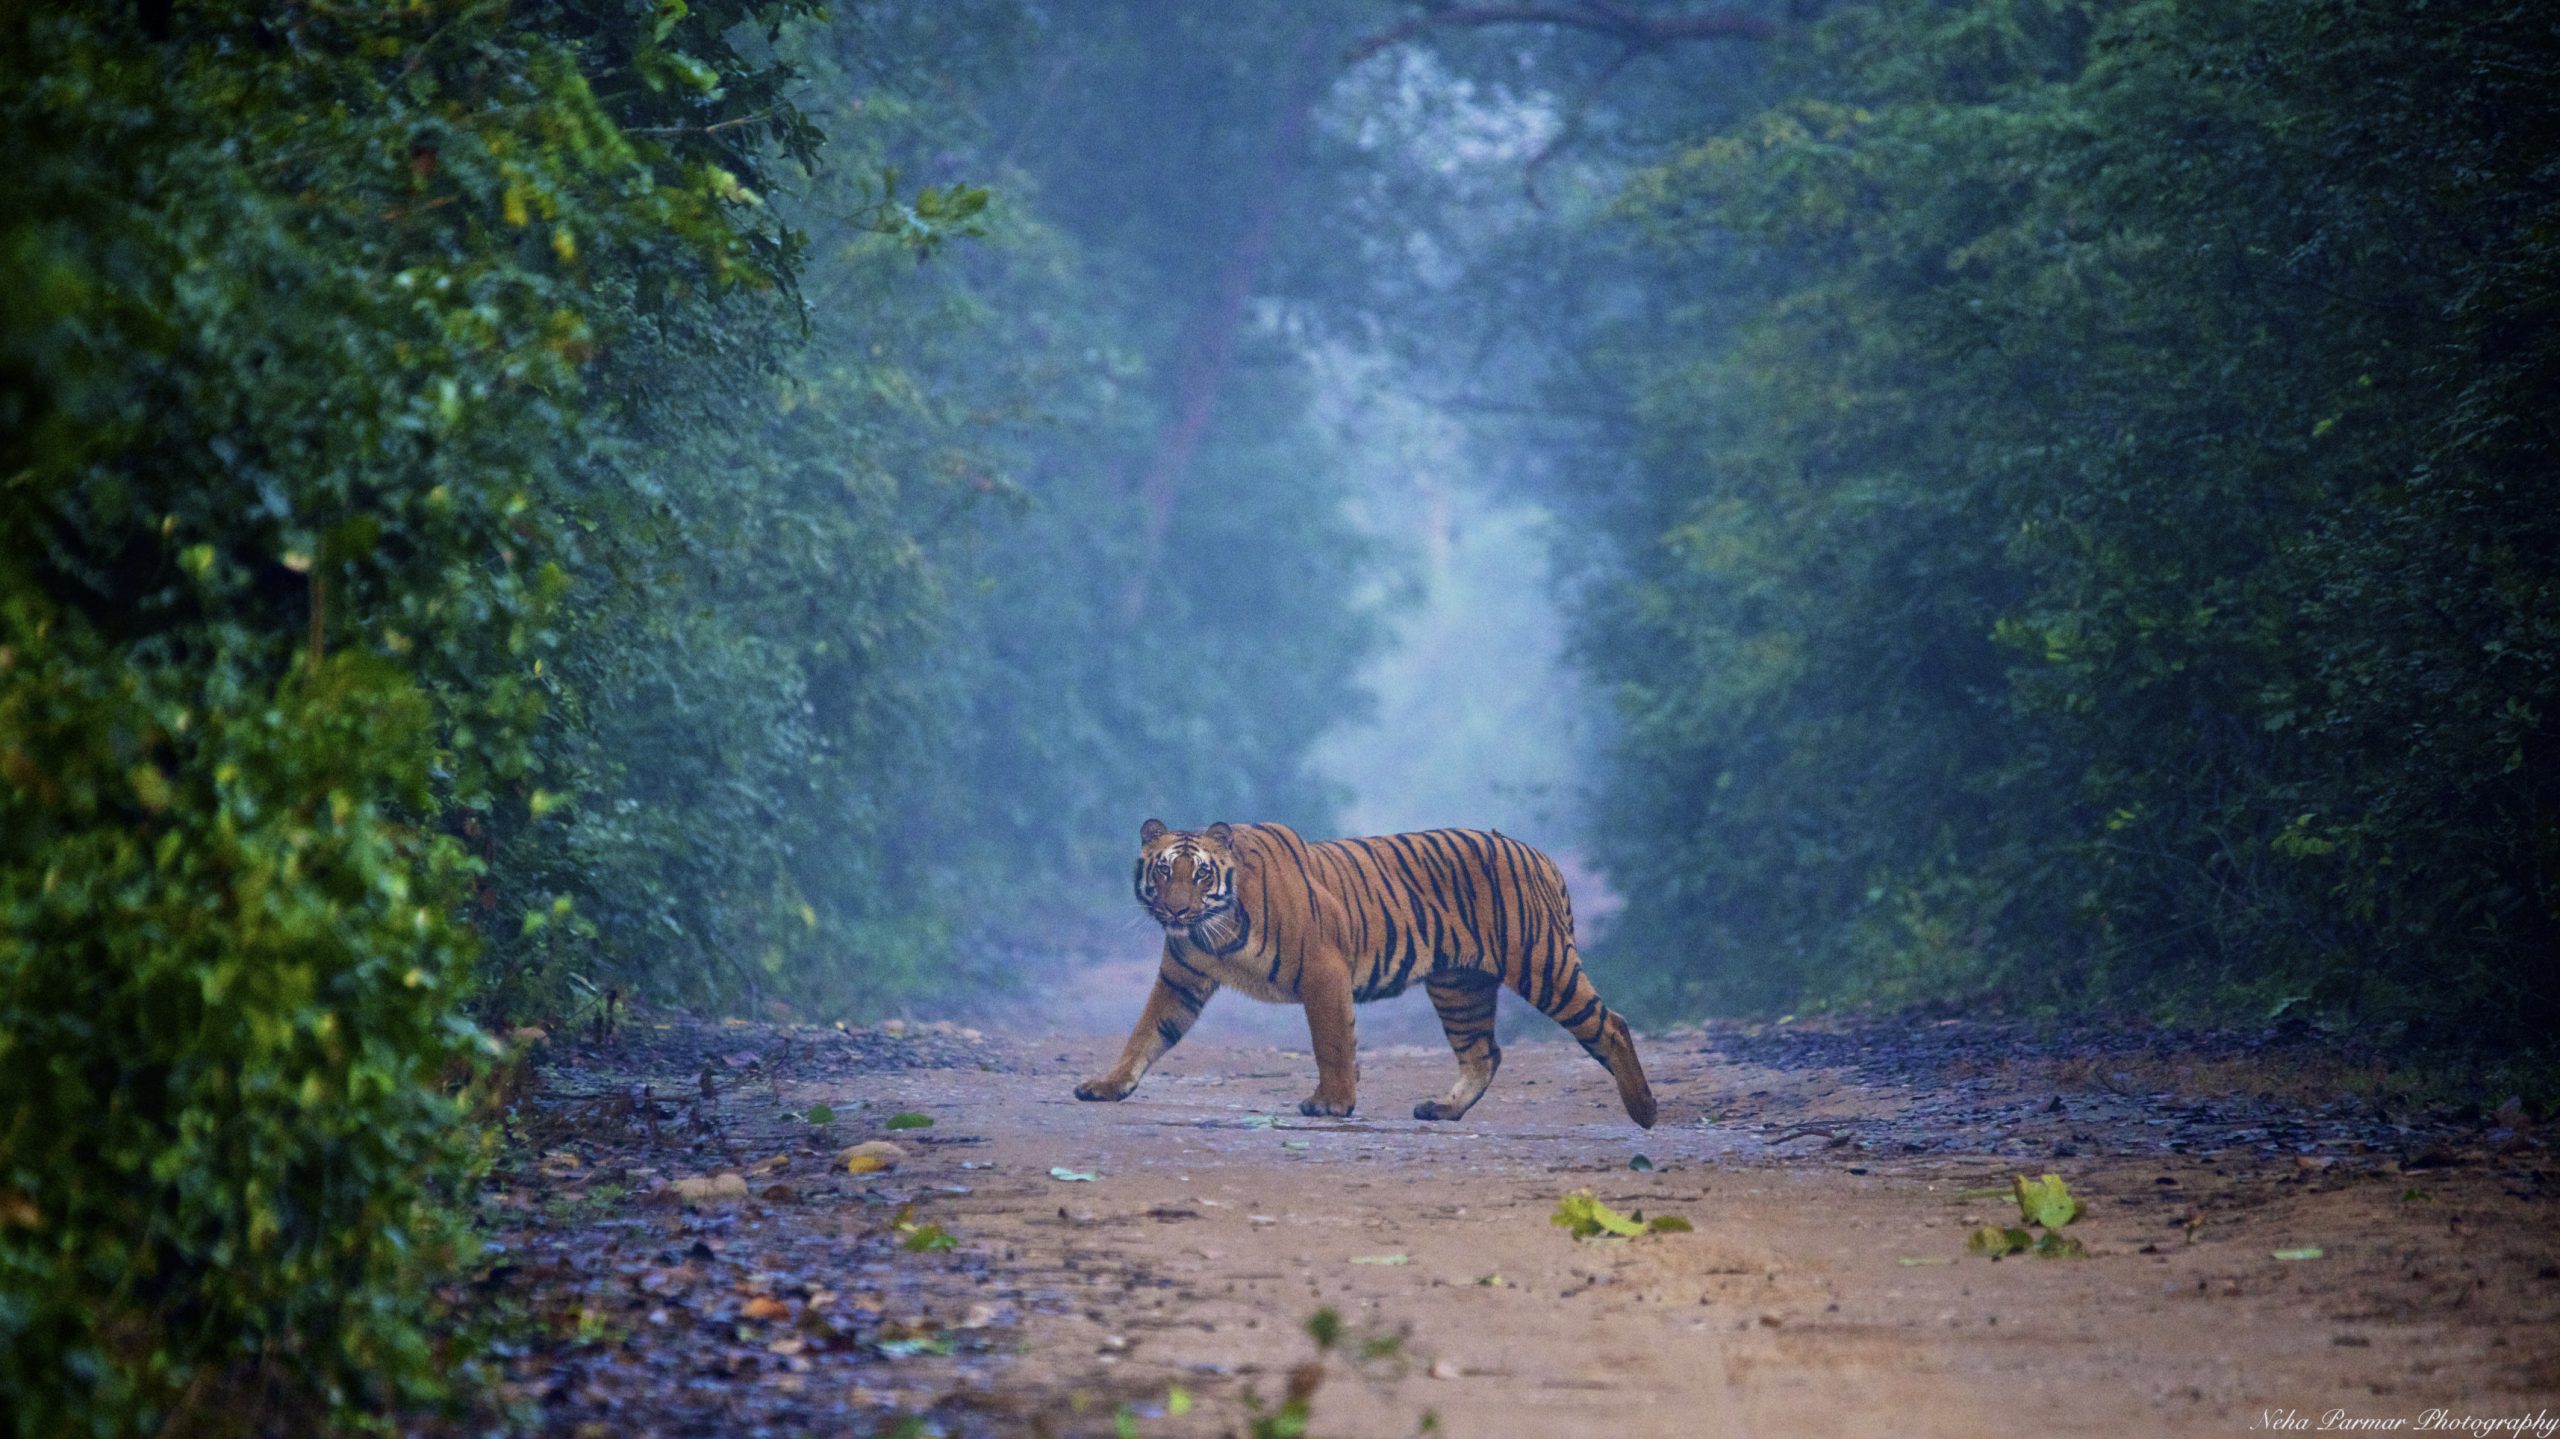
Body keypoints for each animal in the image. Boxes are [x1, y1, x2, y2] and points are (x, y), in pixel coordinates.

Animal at [1064, 819, 1648, 1121]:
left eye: (1201, 874)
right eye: (1164, 871)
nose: (1176, 911)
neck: (1216, 929)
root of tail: (1539, 854)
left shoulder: (1323, 970)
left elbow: (1331, 1041)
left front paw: (1332, 1103)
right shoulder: (1180, 980)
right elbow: (1144, 1036)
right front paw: (1107, 1086)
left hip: (1541, 963)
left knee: (1611, 1023)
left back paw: (1644, 1109)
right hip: (1459, 985)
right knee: (1484, 1052)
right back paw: (1442, 1108)